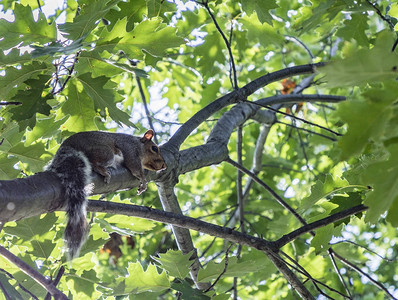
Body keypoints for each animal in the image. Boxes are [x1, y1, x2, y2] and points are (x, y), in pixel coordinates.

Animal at [45, 130, 166, 258]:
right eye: (154, 148)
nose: (164, 166)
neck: (138, 144)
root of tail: (67, 147)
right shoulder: (130, 149)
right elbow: (135, 167)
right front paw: (143, 181)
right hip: (105, 152)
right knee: (94, 162)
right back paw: (102, 171)